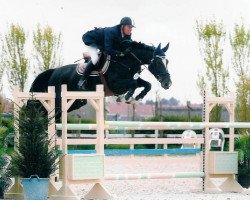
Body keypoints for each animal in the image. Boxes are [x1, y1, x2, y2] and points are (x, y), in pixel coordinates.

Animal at [29, 41, 172, 121]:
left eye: (167, 61)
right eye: (158, 62)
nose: (167, 83)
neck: (126, 61)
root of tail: (54, 71)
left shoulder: (131, 79)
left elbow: (147, 84)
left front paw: (137, 98)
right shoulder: (116, 85)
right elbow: (133, 84)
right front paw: (127, 97)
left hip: (75, 102)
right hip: (58, 101)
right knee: (44, 112)